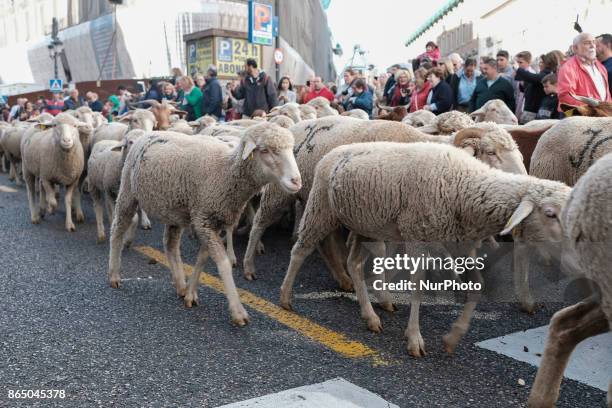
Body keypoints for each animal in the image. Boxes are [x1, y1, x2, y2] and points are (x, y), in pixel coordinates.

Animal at [108, 122, 304, 326]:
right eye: (265, 150)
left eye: (291, 149)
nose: (297, 181)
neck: (226, 171)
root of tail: (148, 133)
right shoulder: (203, 220)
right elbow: (223, 263)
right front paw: (238, 311)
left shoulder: (210, 221)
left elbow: (202, 258)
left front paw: (190, 294)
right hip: (128, 191)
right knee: (117, 229)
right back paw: (114, 274)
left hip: (174, 209)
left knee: (170, 245)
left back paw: (180, 284)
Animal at [280, 142, 572, 356]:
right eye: (549, 214)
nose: (573, 250)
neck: (466, 185)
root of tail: (335, 151)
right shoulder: (416, 235)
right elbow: (418, 284)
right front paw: (414, 339)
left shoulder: (459, 244)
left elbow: (476, 286)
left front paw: (453, 337)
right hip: (321, 208)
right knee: (300, 250)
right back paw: (285, 298)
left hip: (365, 223)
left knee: (353, 264)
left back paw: (372, 315)